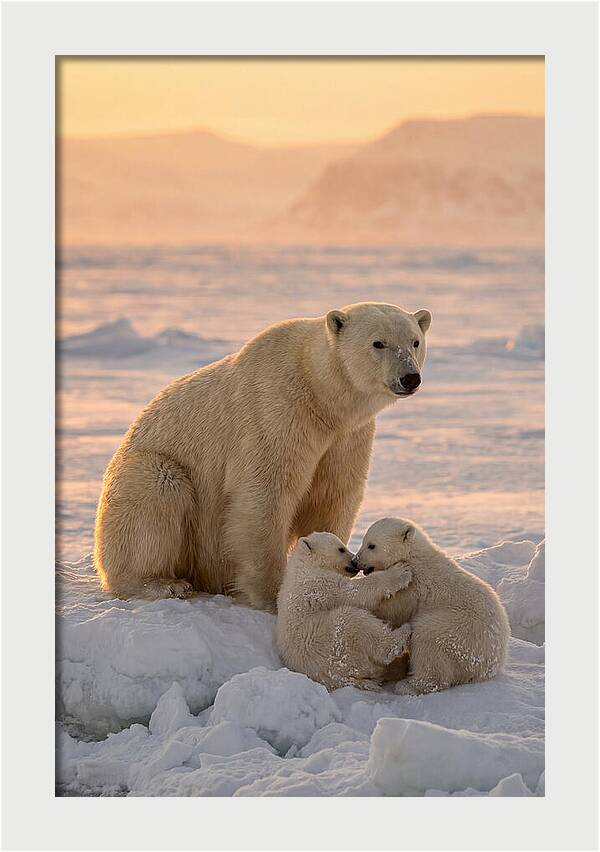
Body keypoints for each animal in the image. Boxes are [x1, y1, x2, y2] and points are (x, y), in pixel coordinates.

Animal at [94, 302, 432, 611]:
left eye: (414, 341)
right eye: (378, 343)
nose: (410, 377)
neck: (320, 394)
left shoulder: (347, 437)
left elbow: (332, 494)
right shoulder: (276, 411)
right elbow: (265, 494)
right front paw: (273, 595)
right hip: (146, 472)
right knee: (157, 490)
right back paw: (163, 584)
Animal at [276, 532, 413, 690]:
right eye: (341, 549)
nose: (354, 561)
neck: (305, 565)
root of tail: (343, 679)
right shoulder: (319, 584)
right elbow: (354, 592)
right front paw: (400, 571)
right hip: (333, 645)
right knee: (354, 622)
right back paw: (404, 632)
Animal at [354, 518, 510, 695]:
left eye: (371, 545)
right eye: (364, 541)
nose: (355, 561)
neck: (412, 556)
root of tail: (490, 666)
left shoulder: (413, 588)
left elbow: (392, 609)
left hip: (459, 631)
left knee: (427, 638)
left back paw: (408, 685)